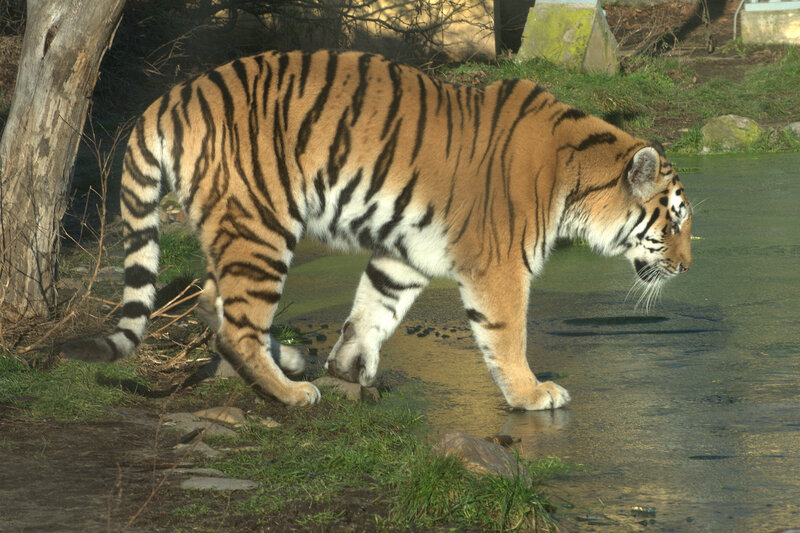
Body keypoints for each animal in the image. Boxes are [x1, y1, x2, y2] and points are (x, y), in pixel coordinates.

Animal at [62, 49, 692, 410]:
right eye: (675, 221)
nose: (687, 267)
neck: (575, 180)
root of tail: (169, 99)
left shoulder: (405, 251)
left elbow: (373, 310)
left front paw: (350, 367)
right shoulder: (498, 268)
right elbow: (507, 335)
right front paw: (532, 394)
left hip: (239, 230)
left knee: (211, 301)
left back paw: (294, 363)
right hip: (263, 225)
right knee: (235, 325)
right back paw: (293, 392)